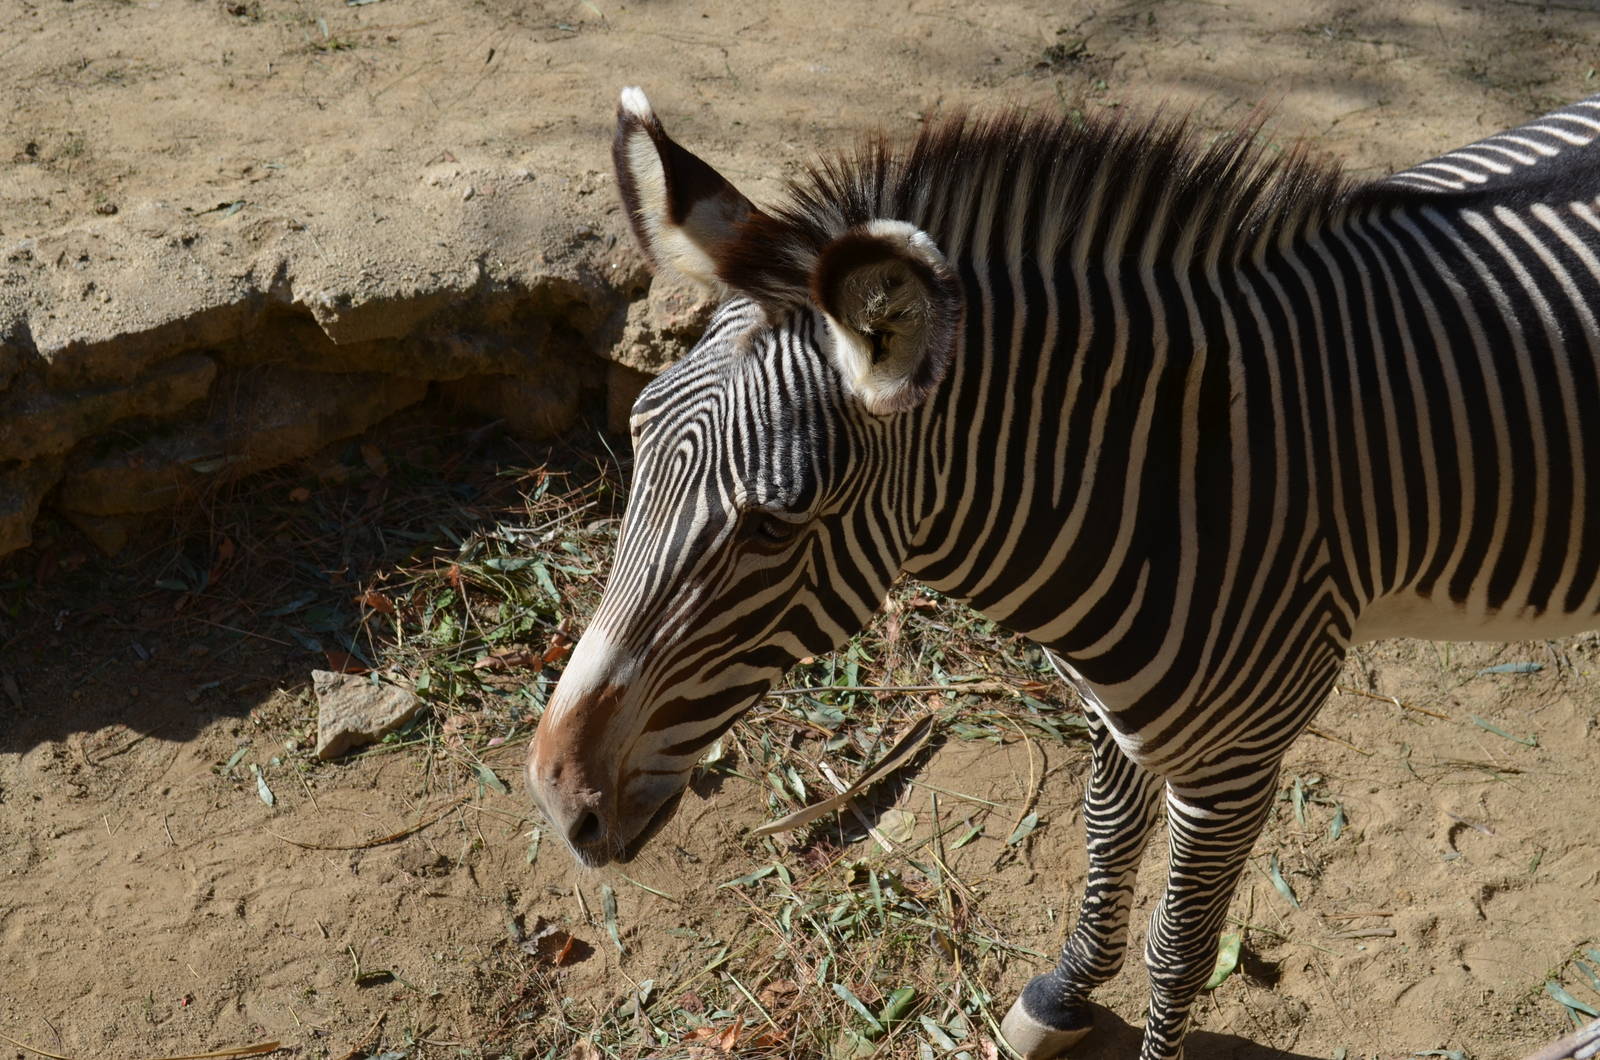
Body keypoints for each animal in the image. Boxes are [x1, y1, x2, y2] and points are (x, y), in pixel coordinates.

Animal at [527, 86, 1600, 1059]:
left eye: (773, 525)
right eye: (637, 433)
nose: (555, 796)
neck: (1173, 467)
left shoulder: (1238, 764)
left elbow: (1182, 948)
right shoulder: (1112, 697)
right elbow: (1102, 833)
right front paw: (1065, 992)